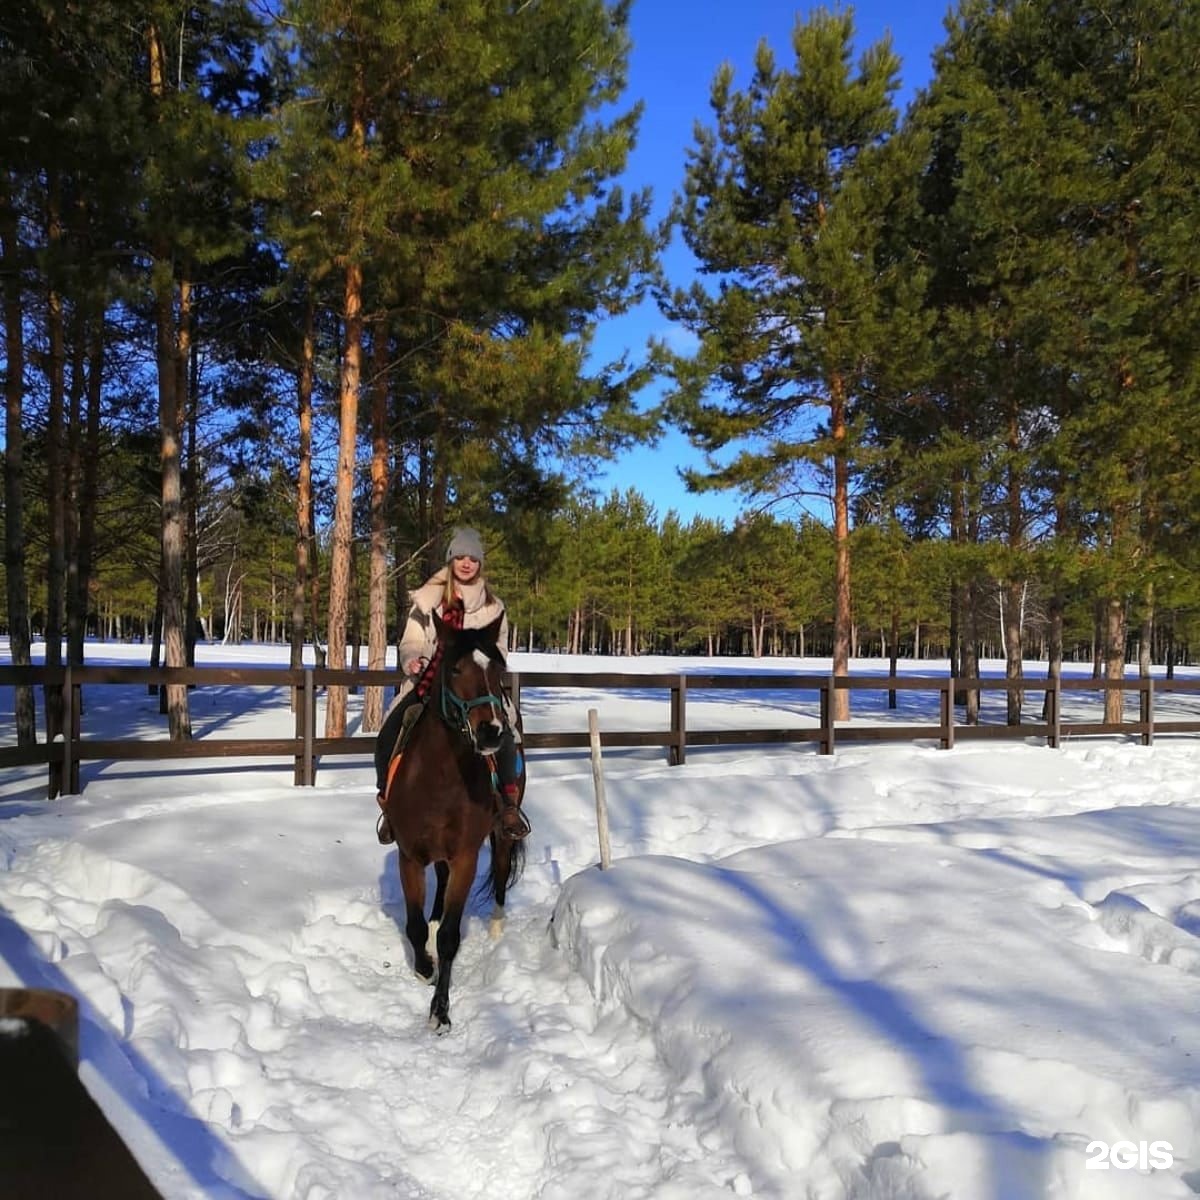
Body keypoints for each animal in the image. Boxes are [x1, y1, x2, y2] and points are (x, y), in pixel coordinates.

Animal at [376, 614, 523, 1027]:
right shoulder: (409, 855)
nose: (491, 731)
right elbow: (414, 925)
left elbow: (450, 939)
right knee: (438, 886)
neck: (440, 778)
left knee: (501, 871)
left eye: (499, 670)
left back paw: (496, 928)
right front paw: (424, 967)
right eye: (455, 668)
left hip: (502, 833)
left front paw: (439, 1011)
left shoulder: (465, 859)